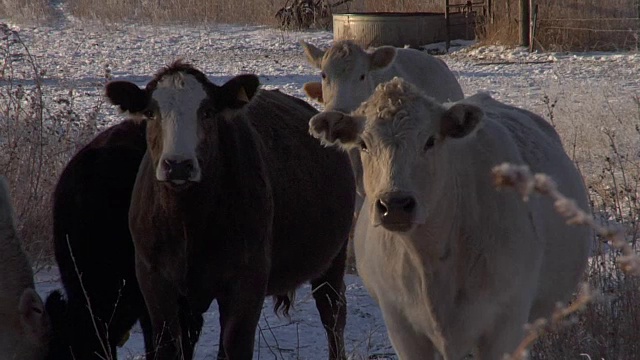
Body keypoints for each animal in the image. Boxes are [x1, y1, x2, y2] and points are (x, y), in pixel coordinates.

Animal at [105, 62, 356, 360]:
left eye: (207, 112)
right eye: (150, 113)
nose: (178, 165)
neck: (188, 221)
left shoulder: (247, 278)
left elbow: (234, 345)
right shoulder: (153, 277)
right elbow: (169, 344)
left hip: (335, 256)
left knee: (333, 316)